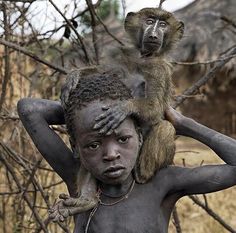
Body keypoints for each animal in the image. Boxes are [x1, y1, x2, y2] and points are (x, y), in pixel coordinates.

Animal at [49, 7, 184, 222]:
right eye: (149, 21)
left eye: (163, 25)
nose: (154, 35)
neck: (142, 56)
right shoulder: (121, 54)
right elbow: (103, 72)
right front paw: (74, 75)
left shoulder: (159, 68)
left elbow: (155, 108)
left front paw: (123, 108)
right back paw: (86, 200)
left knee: (165, 127)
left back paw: (142, 174)